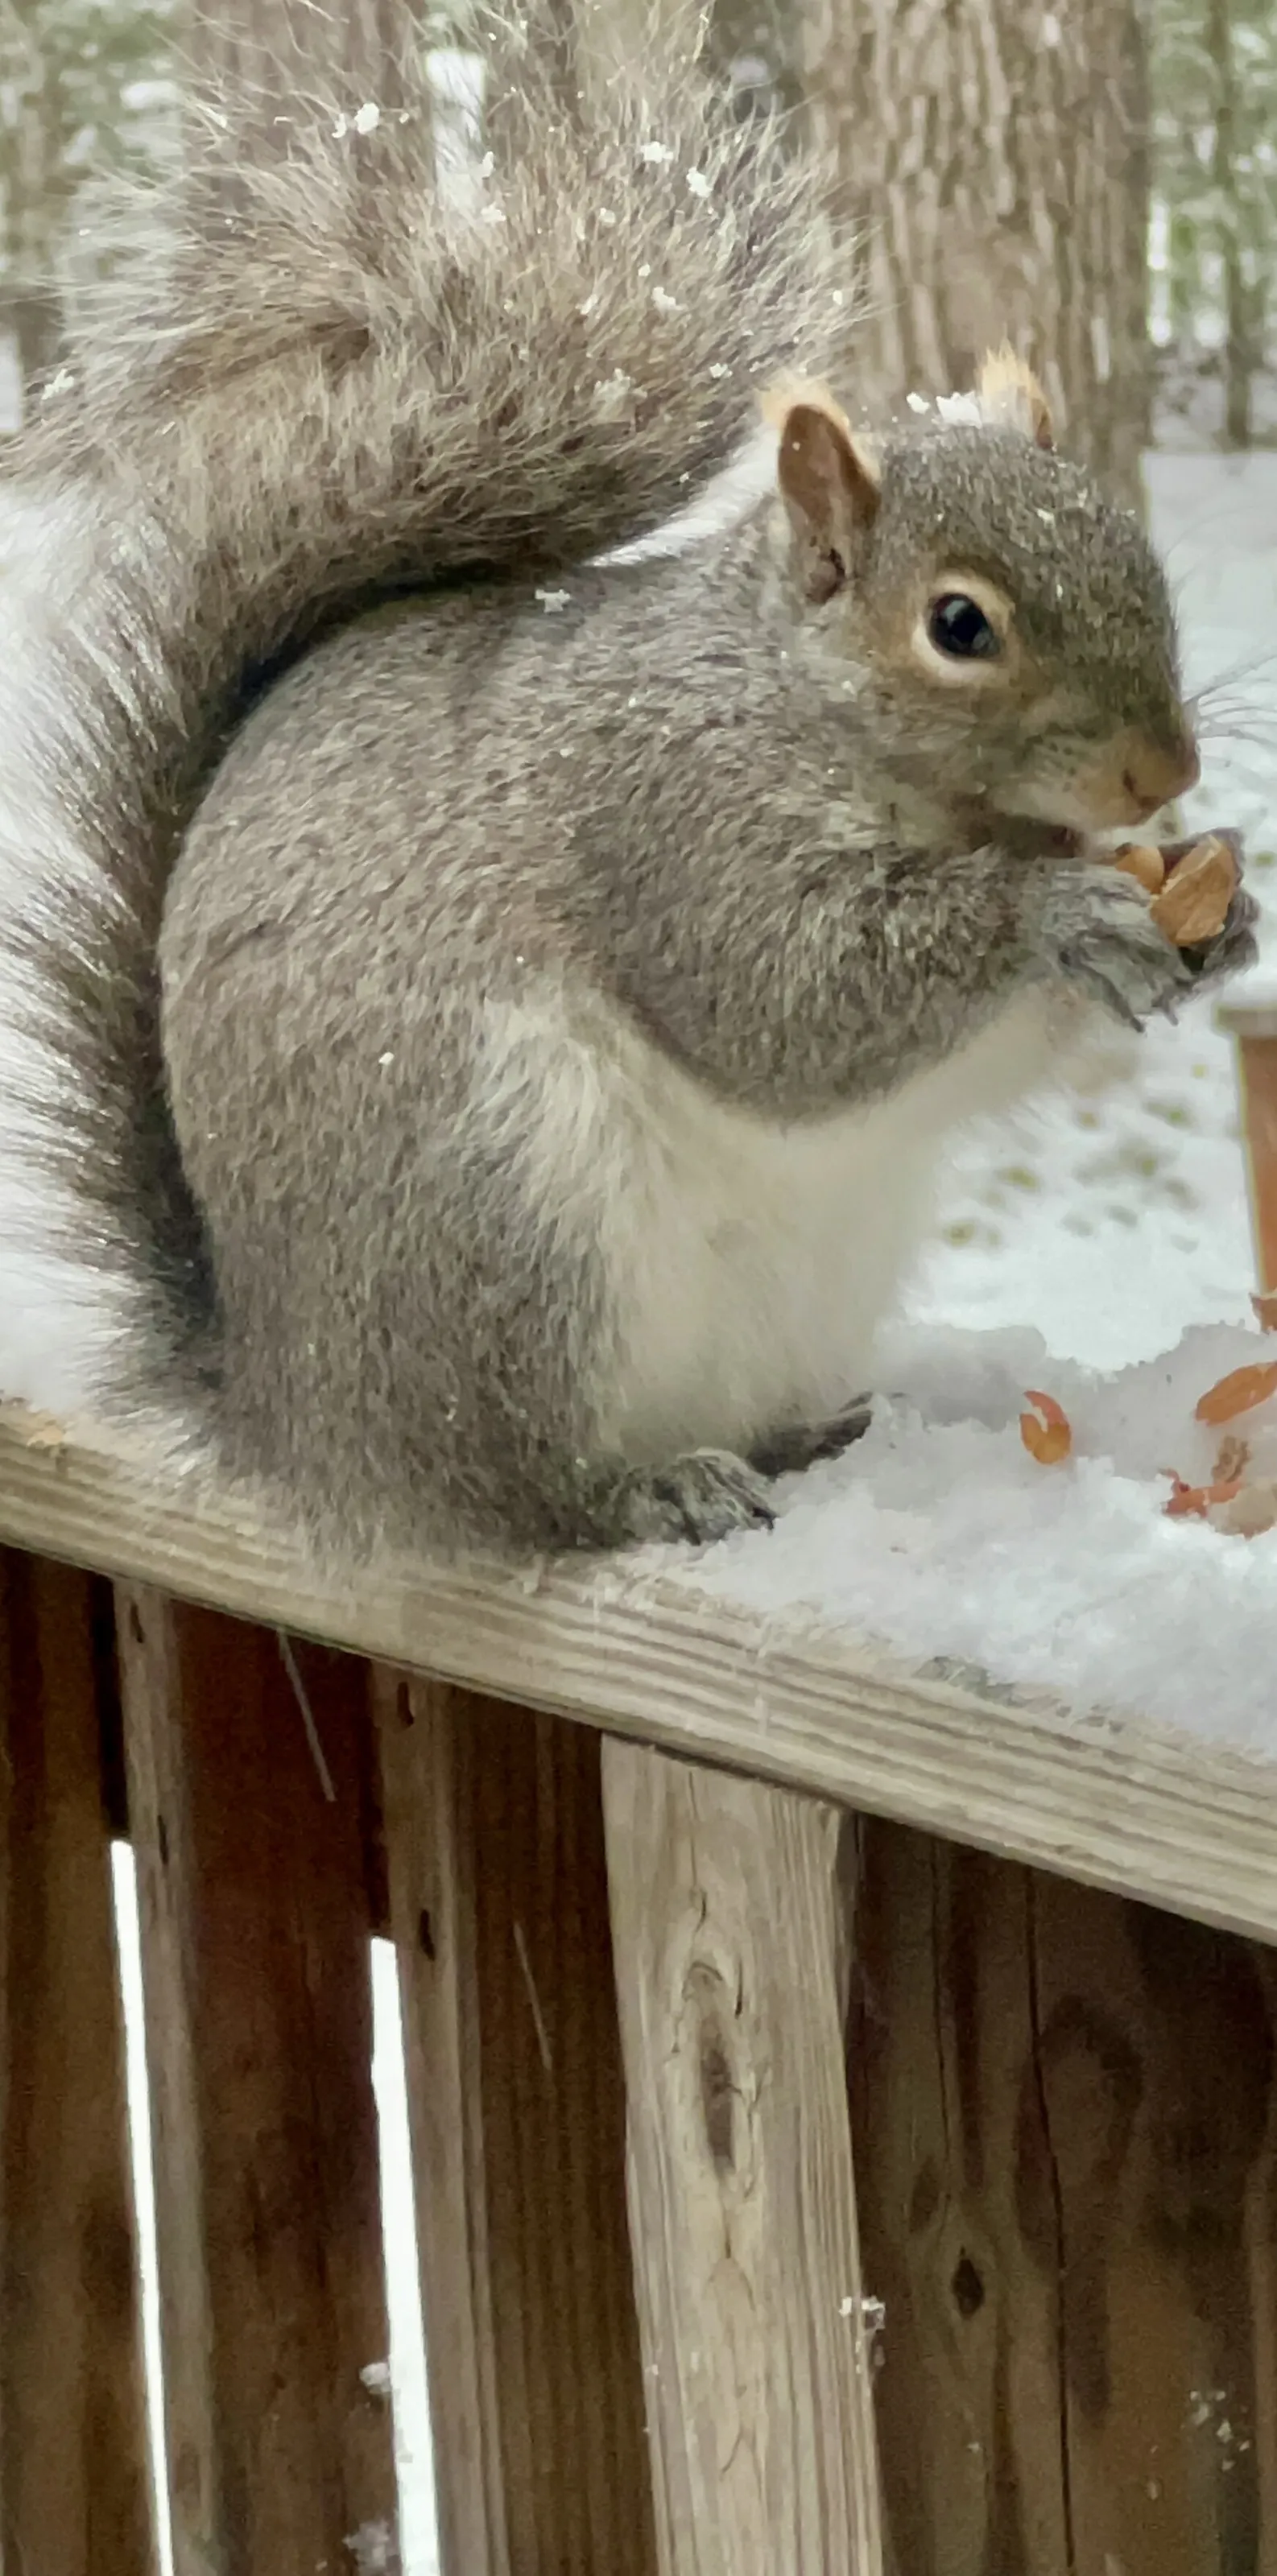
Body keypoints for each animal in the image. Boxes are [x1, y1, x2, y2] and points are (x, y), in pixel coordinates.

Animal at [0, 20, 1257, 1558]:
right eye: (959, 626)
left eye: (1132, 548)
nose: (1166, 770)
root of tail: (299, 1427)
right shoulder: (666, 819)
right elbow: (783, 1003)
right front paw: (1058, 914)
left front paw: (1216, 917)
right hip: (502, 1220)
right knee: (516, 1495)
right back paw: (647, 1488)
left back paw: (808, 1438)